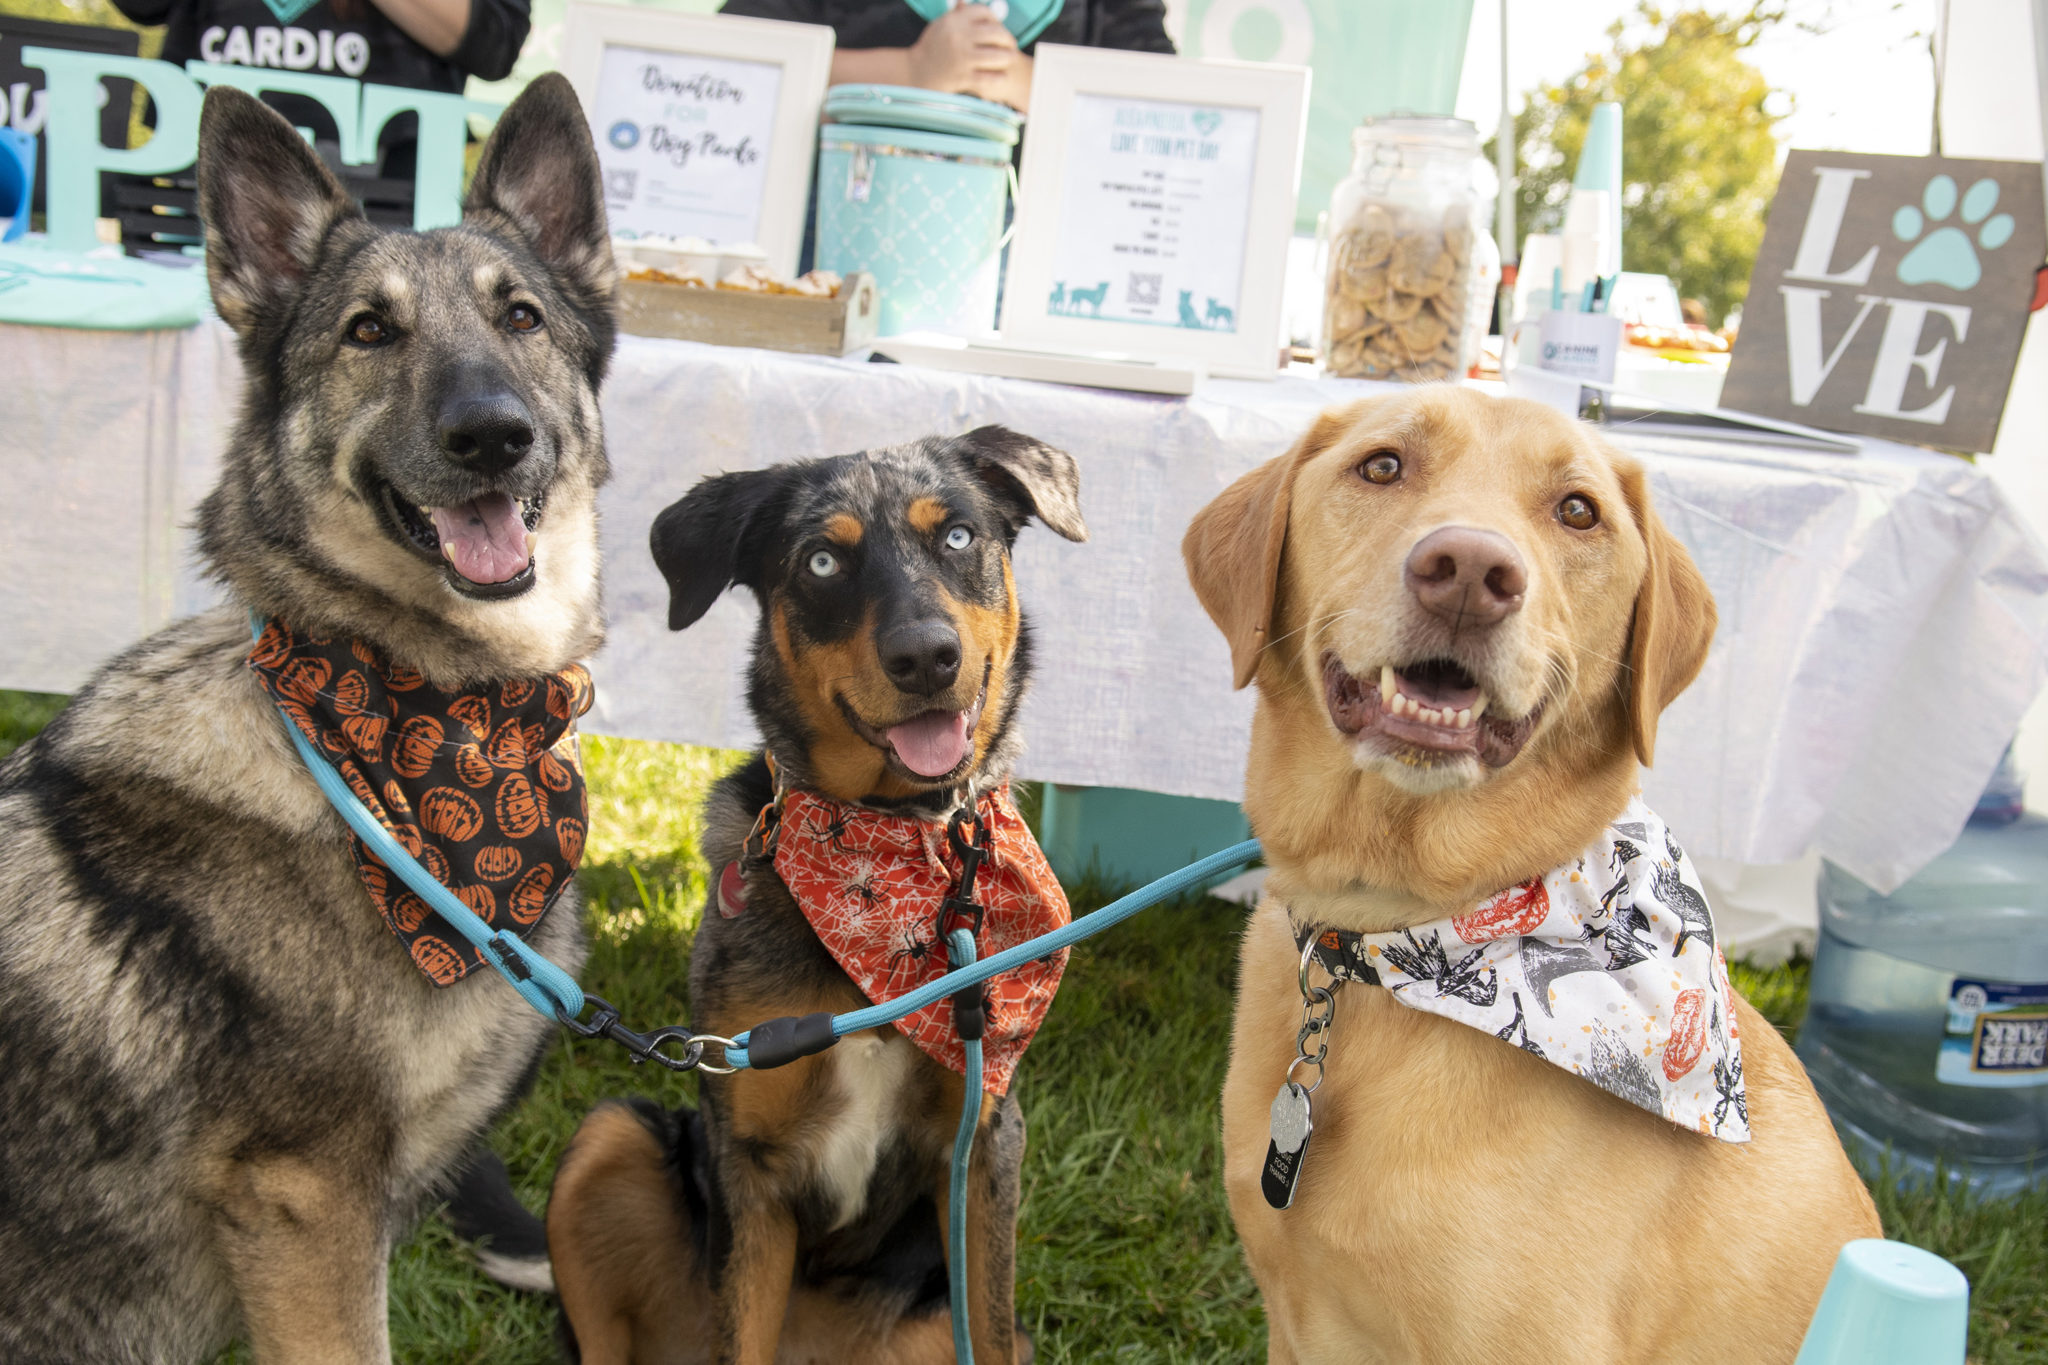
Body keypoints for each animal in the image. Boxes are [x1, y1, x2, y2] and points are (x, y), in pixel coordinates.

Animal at [544, 429, 1089, 1365]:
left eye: (958, 536)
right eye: (822, 561)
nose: (925, 656)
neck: (892, 846)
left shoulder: (984, 1145)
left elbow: (989, 1313)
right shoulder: (751, 1167)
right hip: (606, 1138)